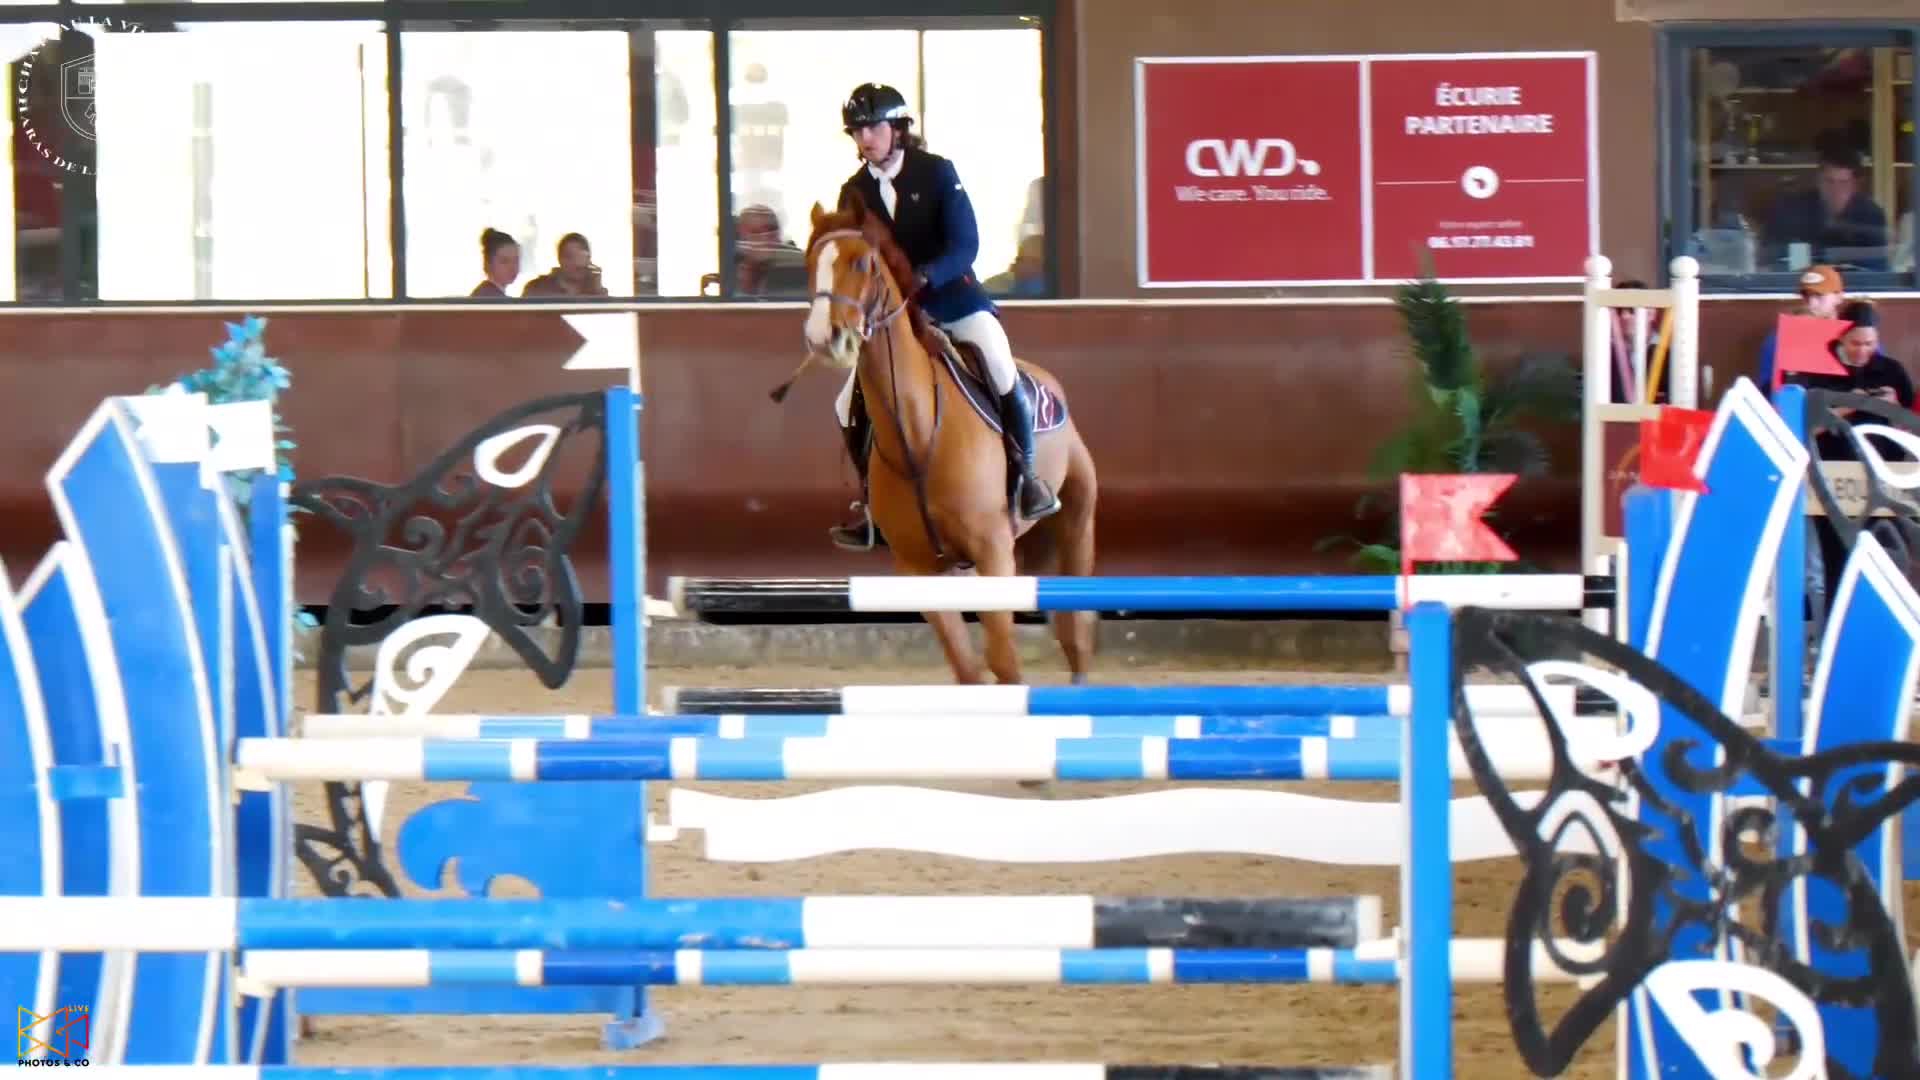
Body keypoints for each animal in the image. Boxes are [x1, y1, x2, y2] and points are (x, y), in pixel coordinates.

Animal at [792, 192, 1099, 685]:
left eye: (861, 262)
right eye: (809, 264)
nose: (825, 339)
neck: (917, 437)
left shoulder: (993, 554)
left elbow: (1004, 663)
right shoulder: (920, 568)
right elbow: (968, 669)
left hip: (1073, 530)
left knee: (1077, 637)